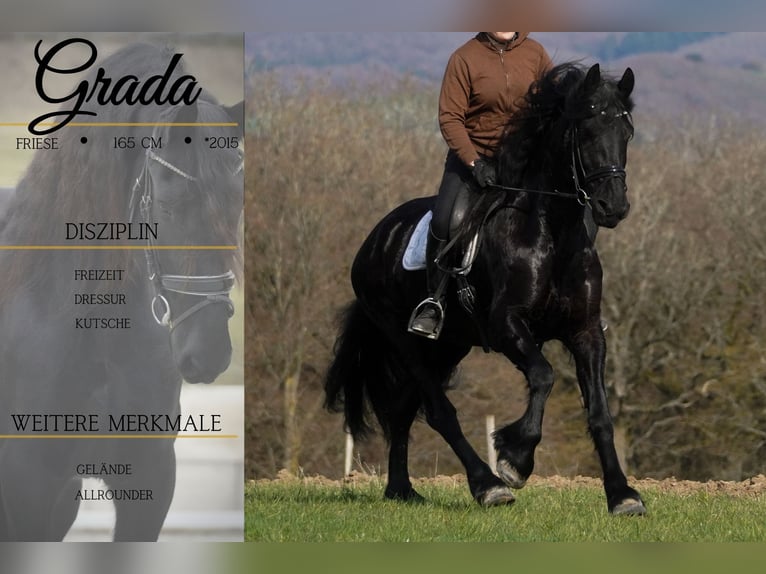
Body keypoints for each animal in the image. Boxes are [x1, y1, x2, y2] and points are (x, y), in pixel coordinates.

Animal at [324, 63, 646, 515]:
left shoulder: (585, 331)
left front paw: (622, 494)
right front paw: (515, 458)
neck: (553, 235)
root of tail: (375, 239)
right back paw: (488, 486)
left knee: (405, 409)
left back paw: (402, 489)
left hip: (446, 346)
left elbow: (599, 412)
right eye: (586, 131)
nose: (613, 207)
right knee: (439, 411)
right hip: (406, 341)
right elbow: (544, 376)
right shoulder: (506, 325)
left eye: (627, 131)